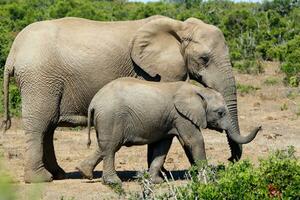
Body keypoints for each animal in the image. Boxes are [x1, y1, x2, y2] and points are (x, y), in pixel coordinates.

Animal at [2, 14, 244, 182]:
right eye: (204, 59)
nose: (230, 160)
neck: (179, 26)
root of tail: (13, 52)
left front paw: (164, 174)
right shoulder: (156, 72)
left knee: (49, 127)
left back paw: (59, 174)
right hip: (40, 79)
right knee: (40, 125)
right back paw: (40, 179)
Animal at [75, 77, 260, 185]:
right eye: (220, 113)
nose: (259, 126)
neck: (198, 90)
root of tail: (94, 102)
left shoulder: (169, 119)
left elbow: (162, 147)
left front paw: (156, 181)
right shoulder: (181, 116)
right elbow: (195, 140)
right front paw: (208, 180)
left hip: (107, 119)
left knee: (104, 146)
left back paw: (84, 172)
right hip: (111, 117)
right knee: (111, 147)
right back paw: (113, 182)